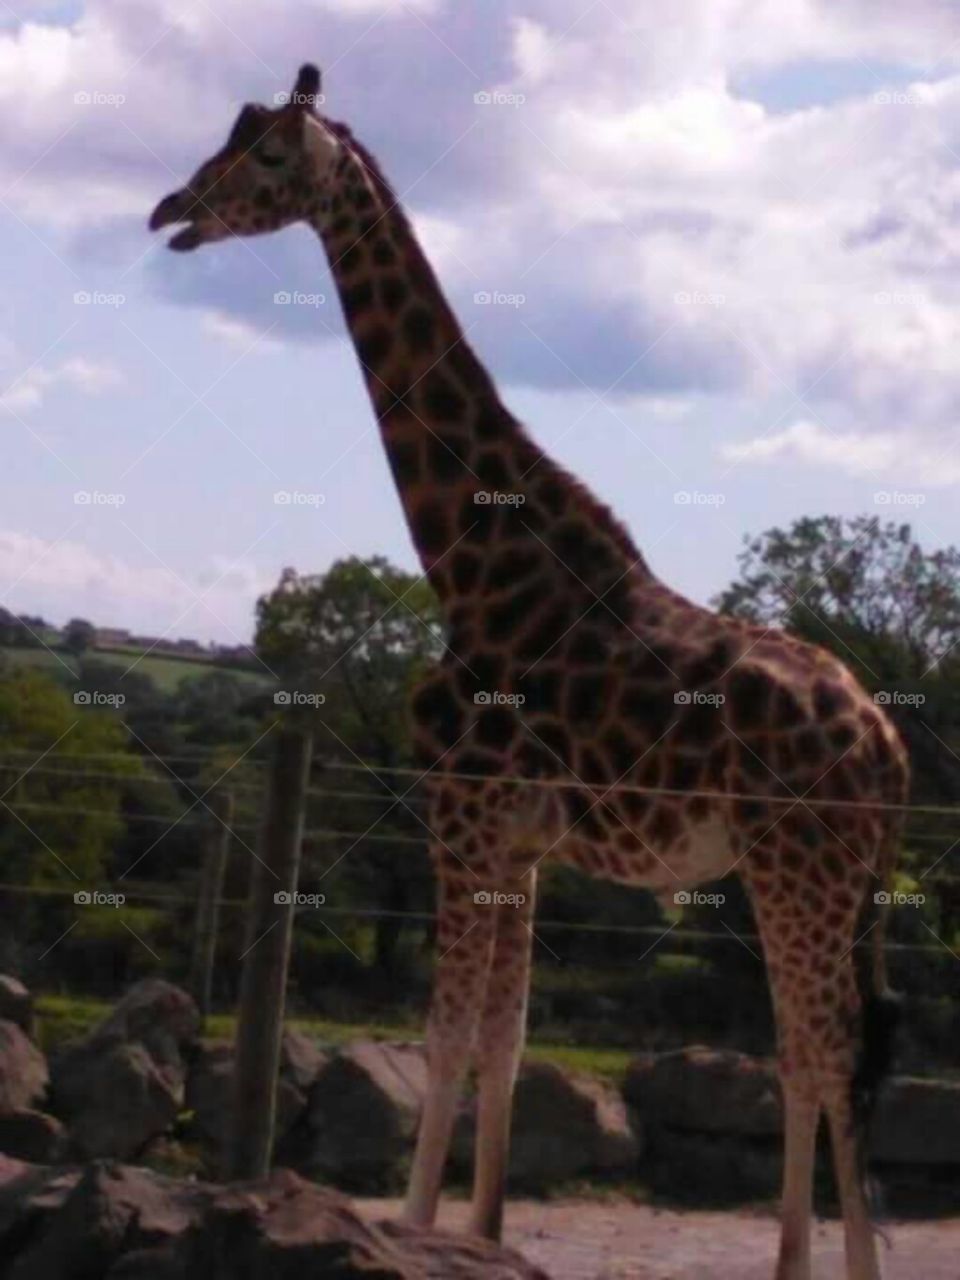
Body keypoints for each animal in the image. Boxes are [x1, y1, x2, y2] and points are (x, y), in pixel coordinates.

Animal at [151, 65, 909, 1280]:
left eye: (267, 156)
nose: (170, 210)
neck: (470, 562)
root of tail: (888, 751)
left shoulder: (459, 816)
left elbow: (446, 1031)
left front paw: (411, 1229)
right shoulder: (520, 842)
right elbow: (503, 1040)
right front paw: (482, 1232)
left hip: (798, 871)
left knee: (821, 1051)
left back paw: (808, 1265)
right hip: (829, 884)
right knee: (828, 1052)